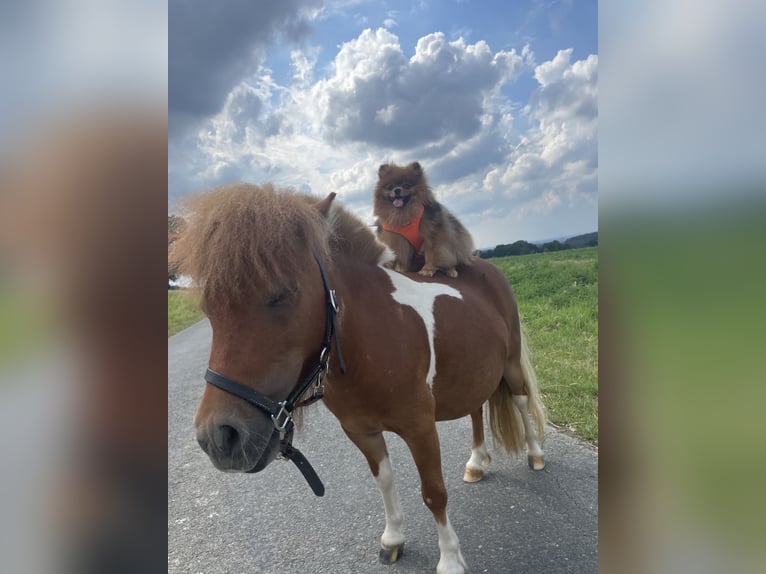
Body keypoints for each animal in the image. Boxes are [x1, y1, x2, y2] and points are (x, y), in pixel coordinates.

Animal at [170, 183, 546, 574]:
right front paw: (393, 539)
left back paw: (535, 455)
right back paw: (476, 462)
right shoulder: (361, 431)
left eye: (282, 293)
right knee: (476, 408)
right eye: (208, 308)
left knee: (520, 401)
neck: (372, 337)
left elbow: (433, 492)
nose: (219, 438)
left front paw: (450, 560)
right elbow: (385, 481)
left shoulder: (421, 428)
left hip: (511, 365)